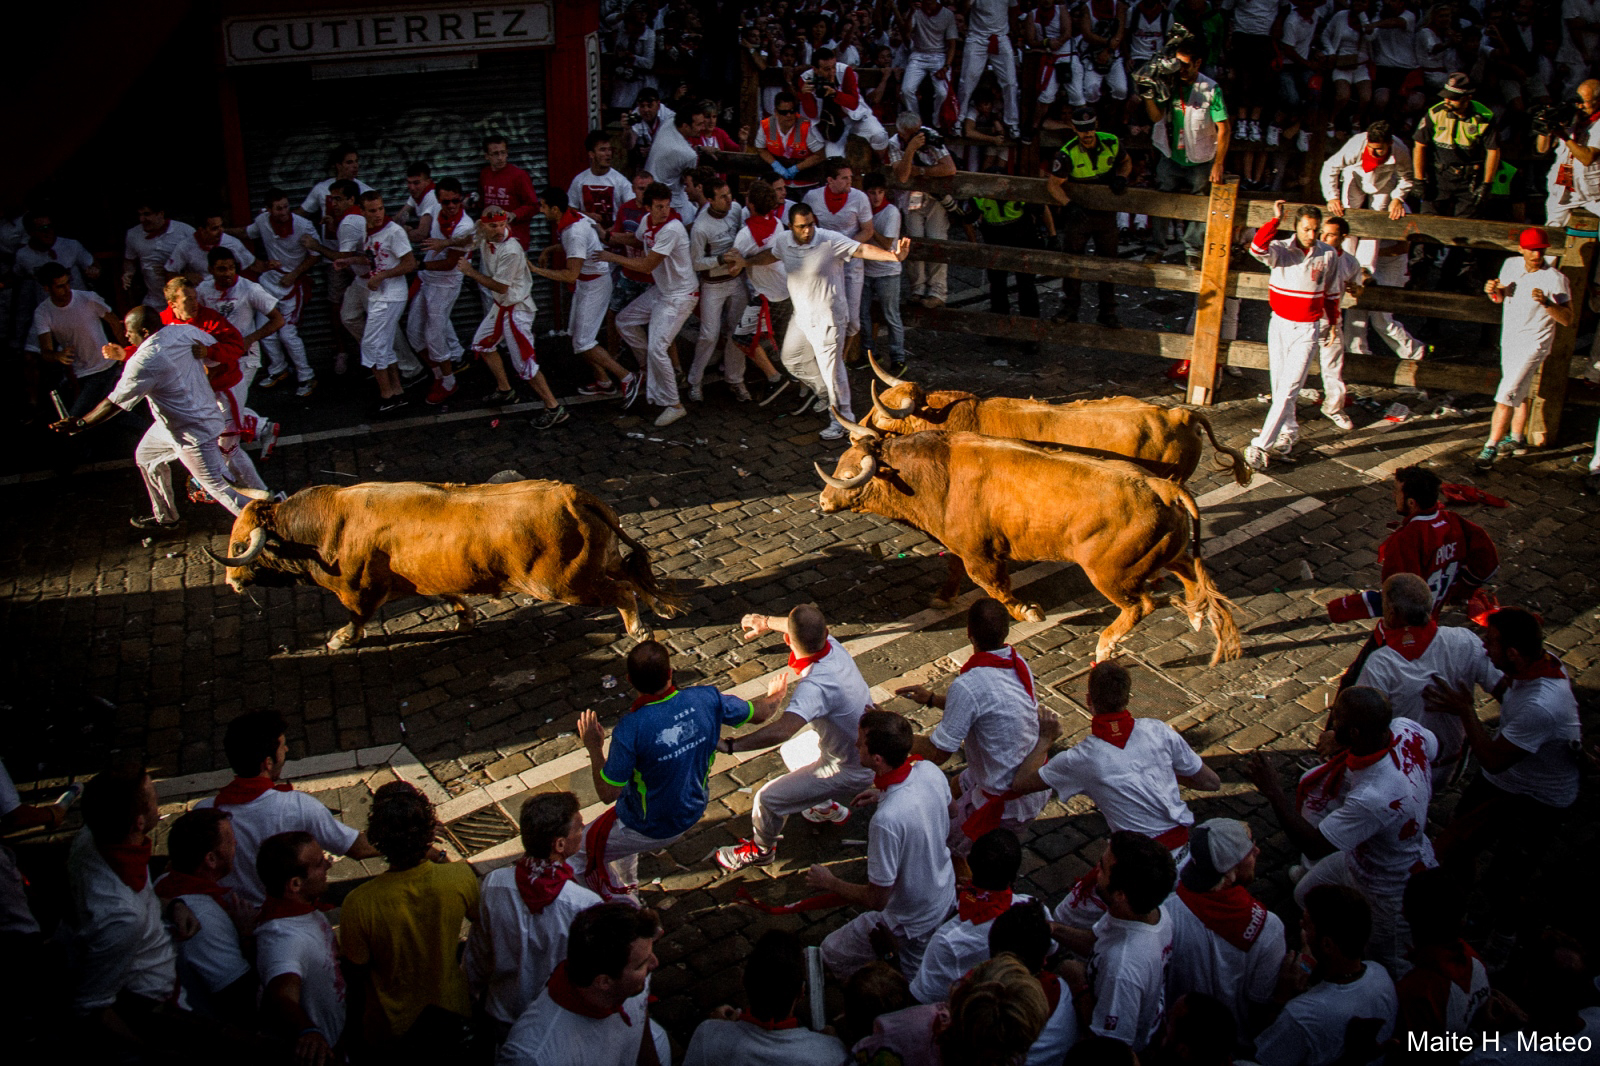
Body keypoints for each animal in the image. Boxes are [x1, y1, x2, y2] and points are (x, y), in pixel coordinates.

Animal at [204, 473, 681, 646]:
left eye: (238, 546)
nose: (231, 582)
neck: (328, 525)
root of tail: (572, 495)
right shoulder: (426, 579)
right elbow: (450, 598)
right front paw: (465, 620)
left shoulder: (358, 591)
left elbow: (356, 618)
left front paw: (340, 639)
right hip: (597, 562)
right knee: (632, 573)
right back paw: (658, 607)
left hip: (565, 584)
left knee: (622, 590)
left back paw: (638, 627)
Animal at [819, 416, 1241, 659]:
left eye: (849, 474)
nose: (822, 500)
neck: (936, 474)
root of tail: (1160, 486)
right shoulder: (961, 545)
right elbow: (954, 569)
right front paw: (942, 597)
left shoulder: (981, 556)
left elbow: (994, 586)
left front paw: (1027, 611)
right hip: (1166, 552)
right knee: (1190, 573)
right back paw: (1197, 615)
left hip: (1111, 575)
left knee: (1141, 605)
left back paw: (1106, 645)